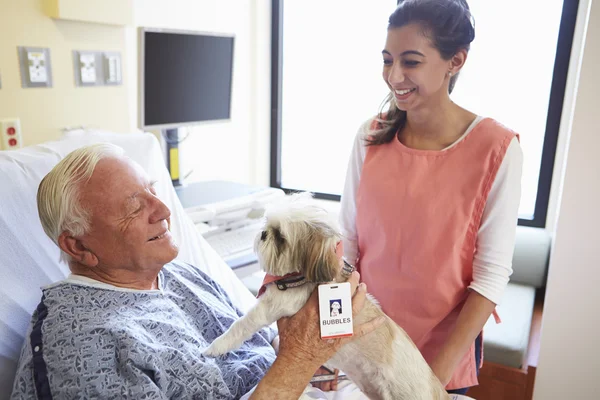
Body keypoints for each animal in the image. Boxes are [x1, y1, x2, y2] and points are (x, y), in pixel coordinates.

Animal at [204, 194, 462, 400]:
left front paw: (216, 347)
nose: (264, 233)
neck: (302, 277)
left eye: (281, 238)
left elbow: (241, 325)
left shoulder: (272, 306)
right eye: (267, 225)